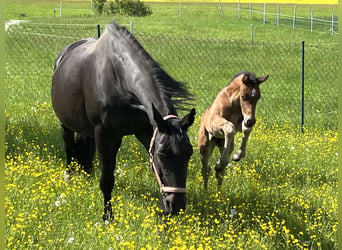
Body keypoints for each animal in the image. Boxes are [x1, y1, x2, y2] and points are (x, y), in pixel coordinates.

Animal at [50, 22, 195, 221]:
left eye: (189, 153)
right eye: (162, 154)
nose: (177, 206)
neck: (119, 79)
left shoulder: (146, 130)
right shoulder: (104, 135)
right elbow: (107, 179)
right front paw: (107, 217)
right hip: (65, 125)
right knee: (69, 148)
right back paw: (69, 176)